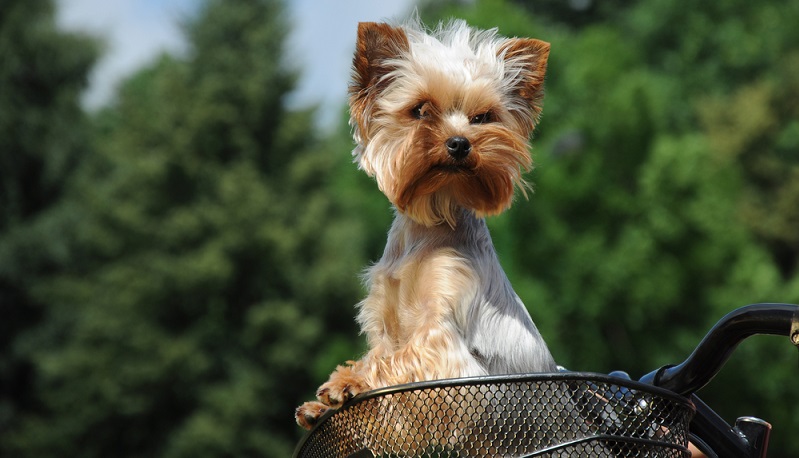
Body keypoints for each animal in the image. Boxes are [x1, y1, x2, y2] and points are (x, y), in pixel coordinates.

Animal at [296, 16, 556, 434]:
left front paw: (348, 383)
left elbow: (401, 360)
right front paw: (327, 398)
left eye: (483, 117)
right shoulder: (386, 323)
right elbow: (383, 354)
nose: (460, 143)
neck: (432, 217)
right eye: (419, 110)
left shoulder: (446, 344)